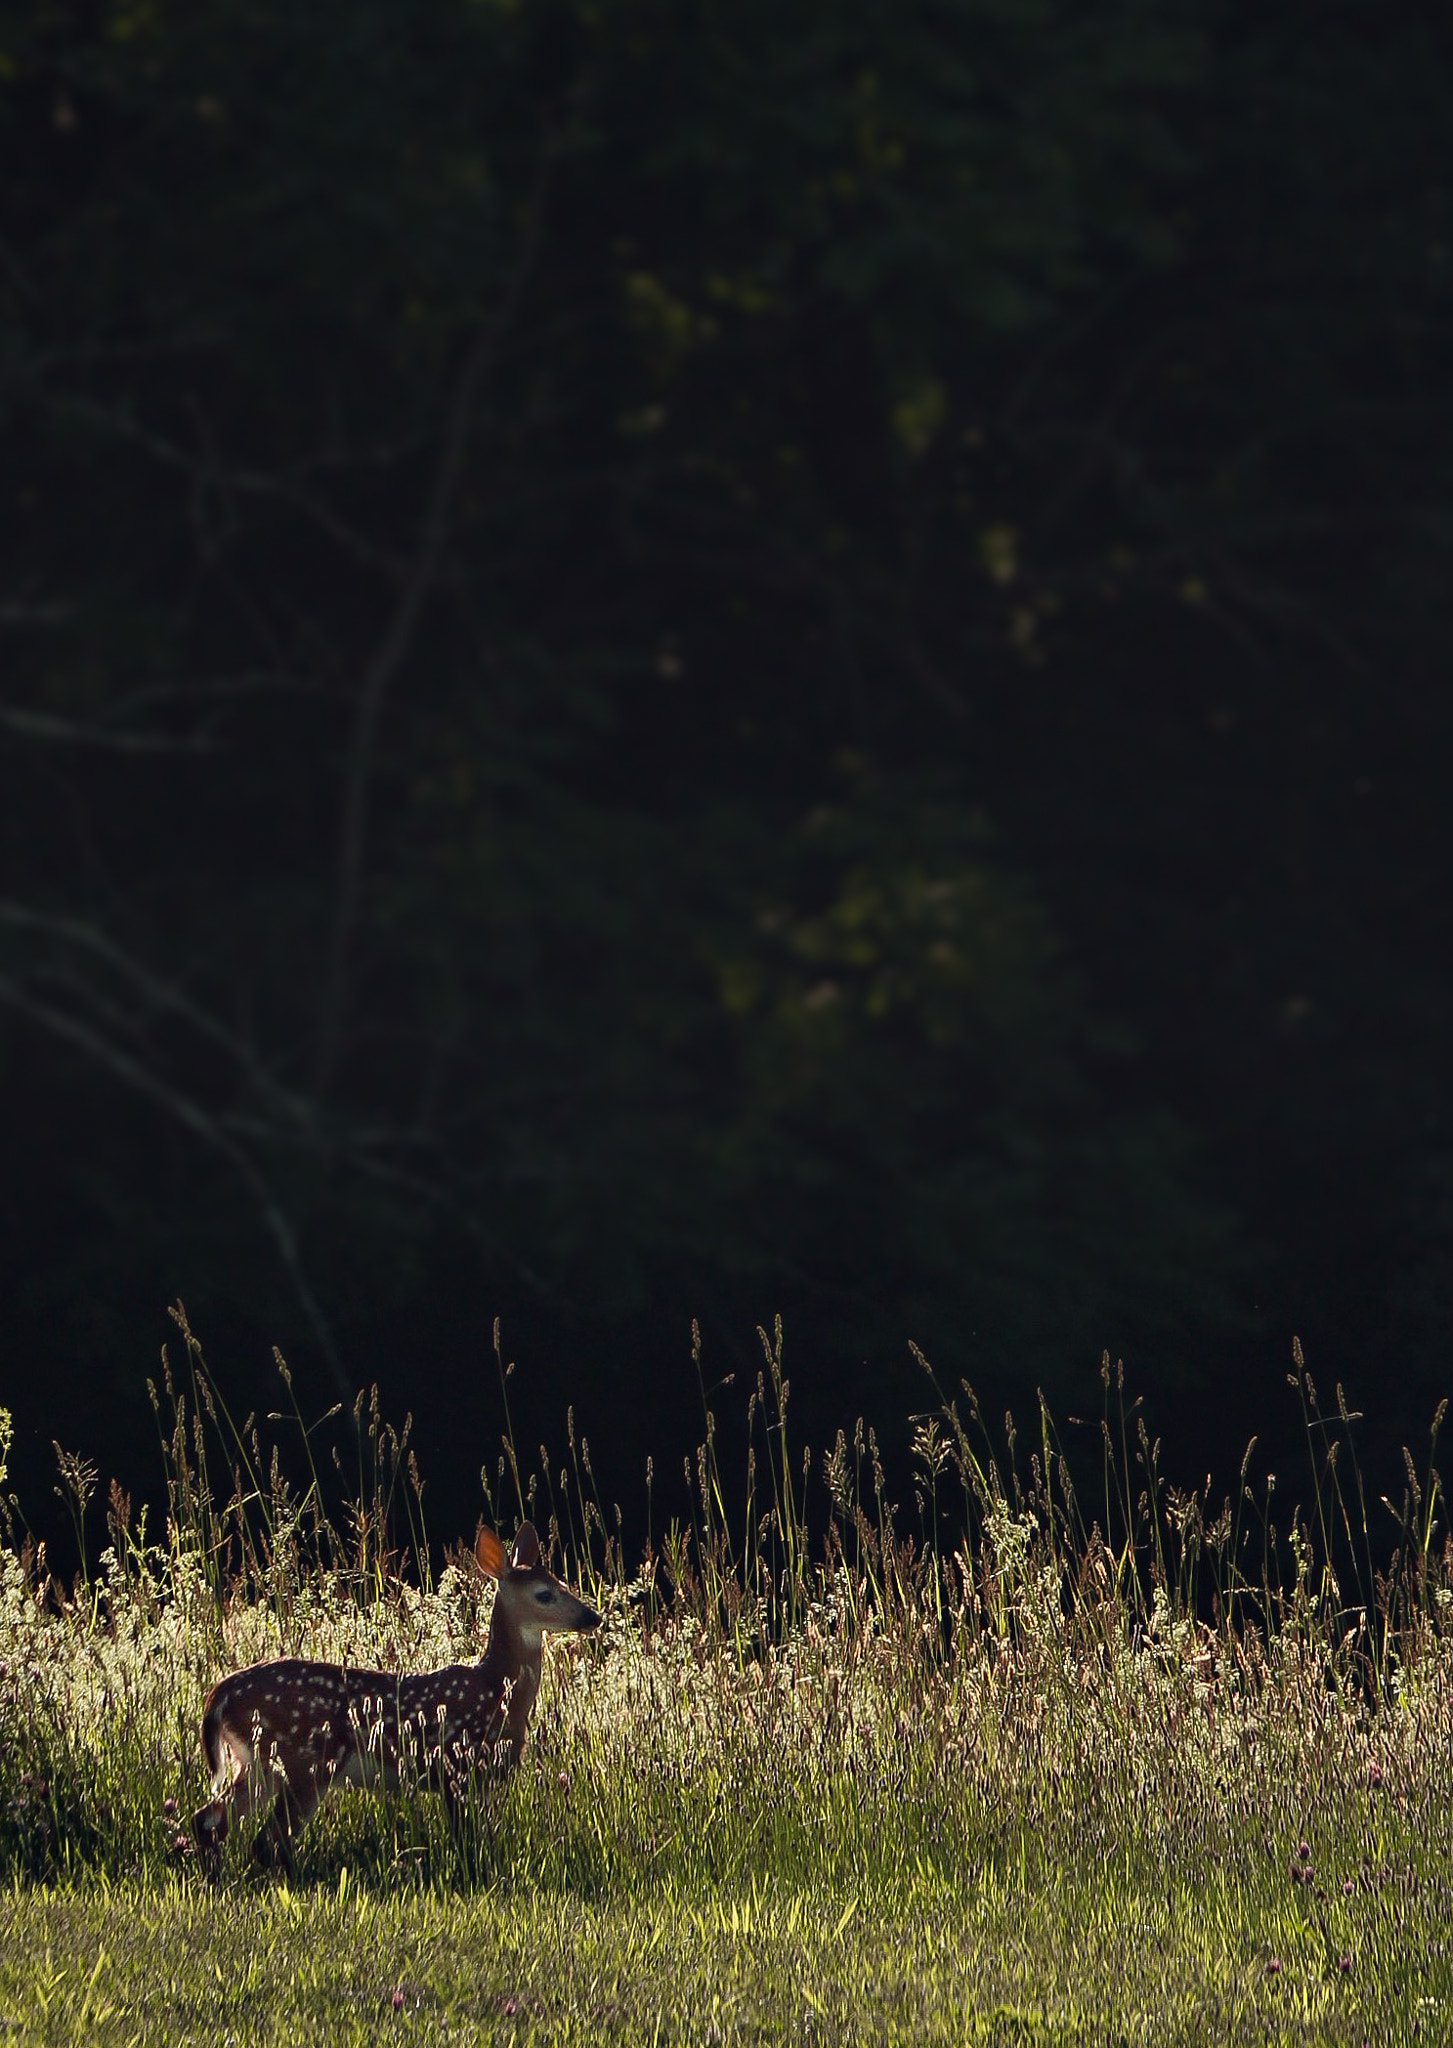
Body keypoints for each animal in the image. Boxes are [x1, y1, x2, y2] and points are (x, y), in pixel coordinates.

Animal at [190, 1521, 601, 1878]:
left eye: (563, 1582)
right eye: (544, 1594)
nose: (592, 1617)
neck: (495, 1692)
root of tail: (220, 1694)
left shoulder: (481, 1779)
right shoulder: (454, 1766)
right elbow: (466, 1843)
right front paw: (474, 1876)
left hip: (258, 1763)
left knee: (209, 1819)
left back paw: (215, 1876)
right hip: (304, 1758)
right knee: (267, 1840)